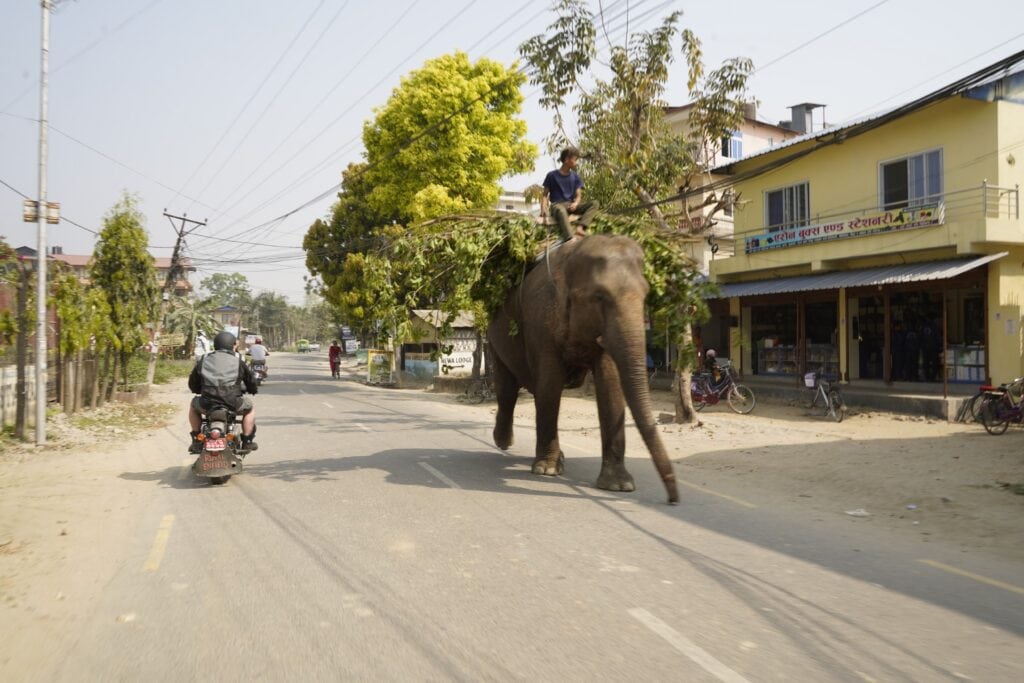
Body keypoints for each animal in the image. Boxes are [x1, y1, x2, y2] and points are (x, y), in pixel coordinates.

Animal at [487, 232, 679, 505]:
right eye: (599, 296)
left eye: (646, 294)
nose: (673, 499)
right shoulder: (541, 319)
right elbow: (550, 383)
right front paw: (547, 470)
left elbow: (610, 384)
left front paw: (619, 486)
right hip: (494, 338)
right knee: (507, 388)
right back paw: (503, 442)